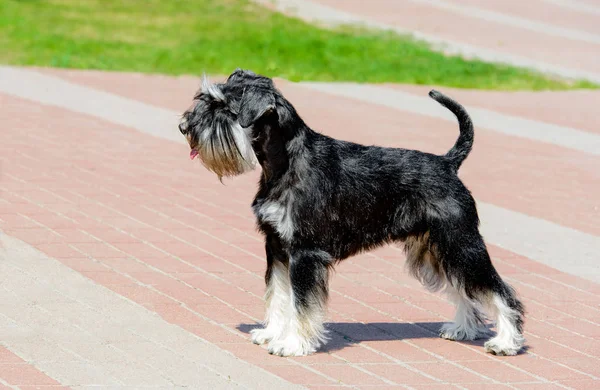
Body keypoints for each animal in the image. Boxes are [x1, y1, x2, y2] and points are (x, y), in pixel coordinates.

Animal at [179, 69, 524, 356]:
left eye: (224, 107)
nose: (184, 127)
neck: (285, 164)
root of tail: (448, 163)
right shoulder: (276, 246)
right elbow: (277, 294)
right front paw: (271, 333)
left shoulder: (305, 253)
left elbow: (300, 303)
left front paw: (292, 344)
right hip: (435, 250)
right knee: (464, 288)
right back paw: (463, 328)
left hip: (460, 243)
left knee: (499, 290)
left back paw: (506, 342)